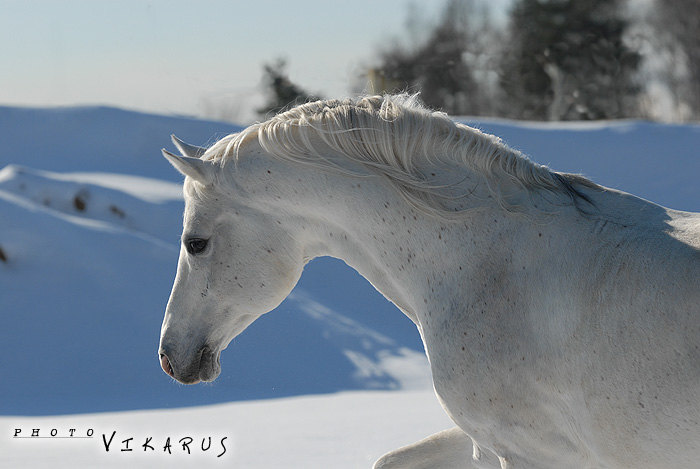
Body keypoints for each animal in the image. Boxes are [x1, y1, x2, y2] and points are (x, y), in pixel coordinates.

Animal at [160, 95, 700, 468]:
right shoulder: (484, 442)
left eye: (195, 243)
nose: (169, 357)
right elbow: (389, 460)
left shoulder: (533, 450)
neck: (491, 262)